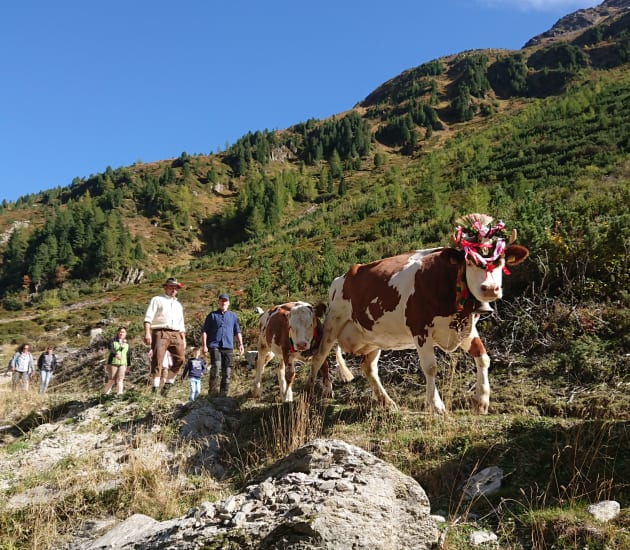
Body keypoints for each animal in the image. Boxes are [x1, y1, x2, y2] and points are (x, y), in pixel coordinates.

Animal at [308, 218, 532, 416]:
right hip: (332, 324)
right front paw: (437, 406)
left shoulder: (466, 328)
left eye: (501, 261)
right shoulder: (420, 328)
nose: (490, 288)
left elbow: (483, 357)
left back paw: (387, 402)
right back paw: (308, 391)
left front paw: (481, 401)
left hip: (374, 337)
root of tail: (344, 276)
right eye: (470, 260)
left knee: (369, 367)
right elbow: (430, 367)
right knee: (318, 358)